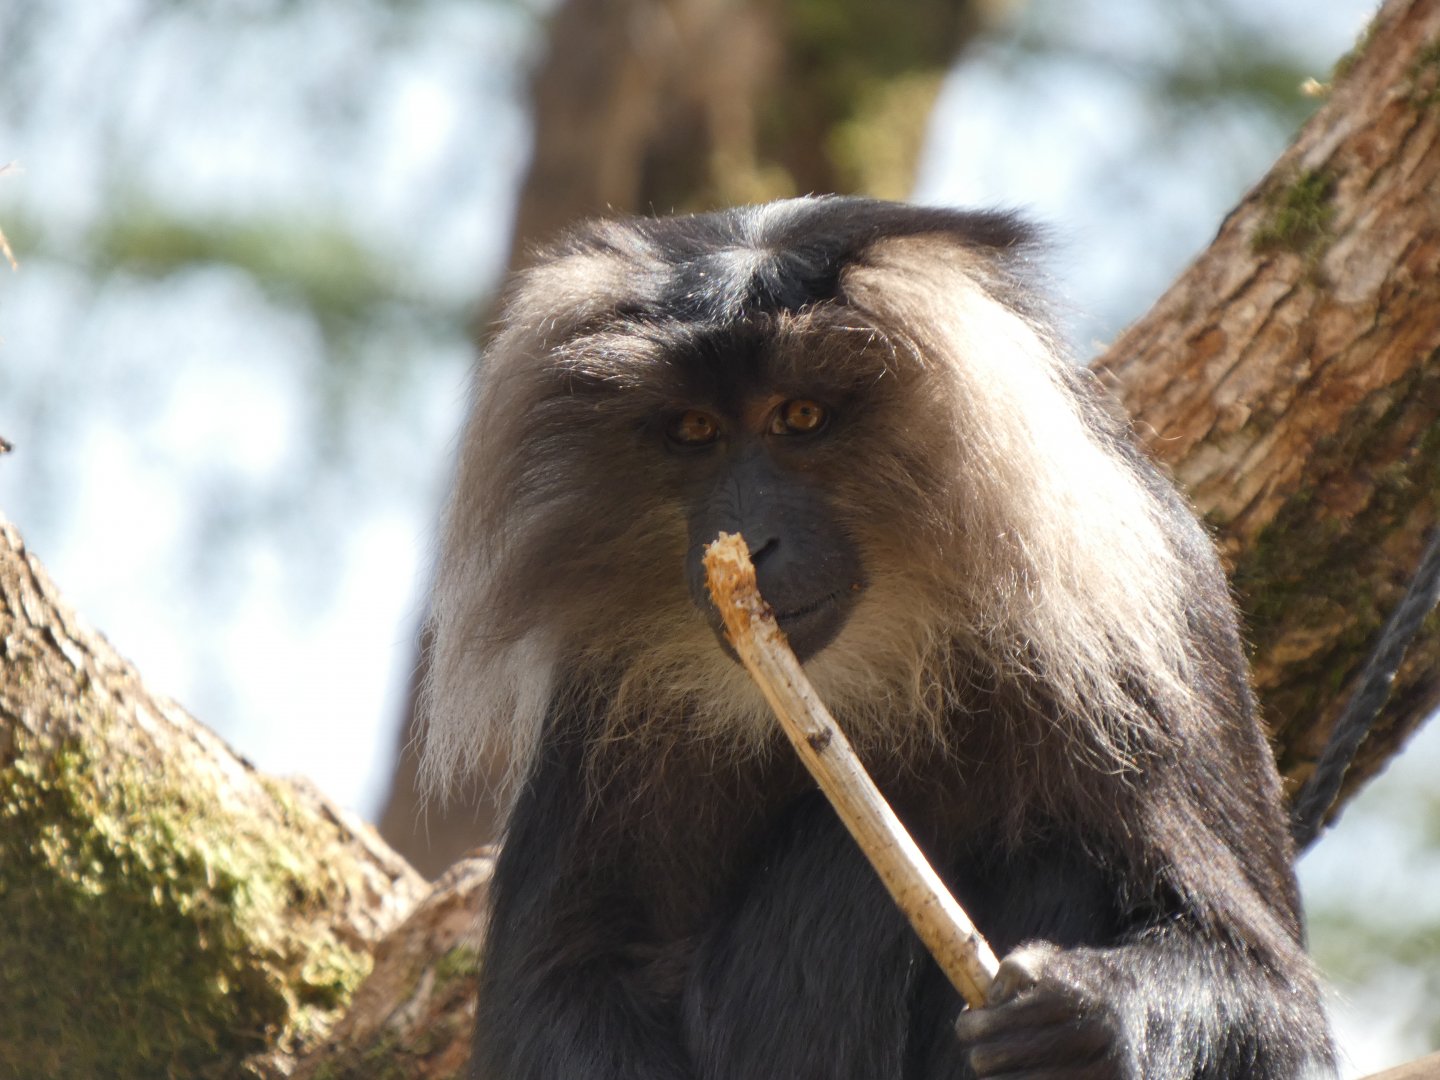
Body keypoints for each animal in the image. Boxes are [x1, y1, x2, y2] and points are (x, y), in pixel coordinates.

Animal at [420, 196, 1336, 1079]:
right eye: (694, 431)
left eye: (800, 416)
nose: (747, 544)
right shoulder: (598, 685)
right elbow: (550, 993)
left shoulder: (1150, 603)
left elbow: (1275, 996)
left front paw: (1083, 1020)